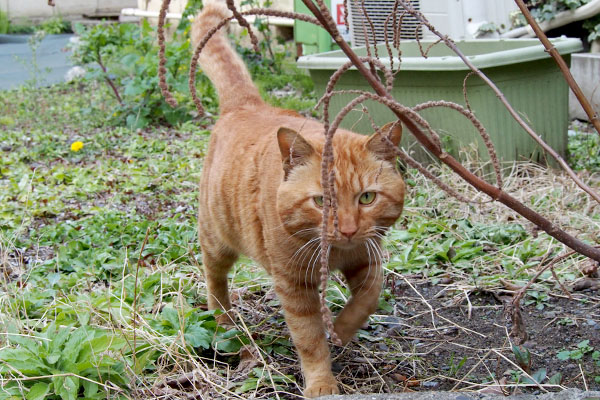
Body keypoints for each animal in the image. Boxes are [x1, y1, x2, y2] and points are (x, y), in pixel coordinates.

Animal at [195, 2, 406, 396]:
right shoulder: (294, 286)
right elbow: (309, 339)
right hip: (217, 238)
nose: (348, 230)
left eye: (367, 198)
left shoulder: (367, 260)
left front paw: (341, 330)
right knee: (214, 280)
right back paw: (224, 321)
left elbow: (367, 299)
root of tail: (247, 104)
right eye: (321, 202)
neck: (336, 252)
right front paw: (322, 381)